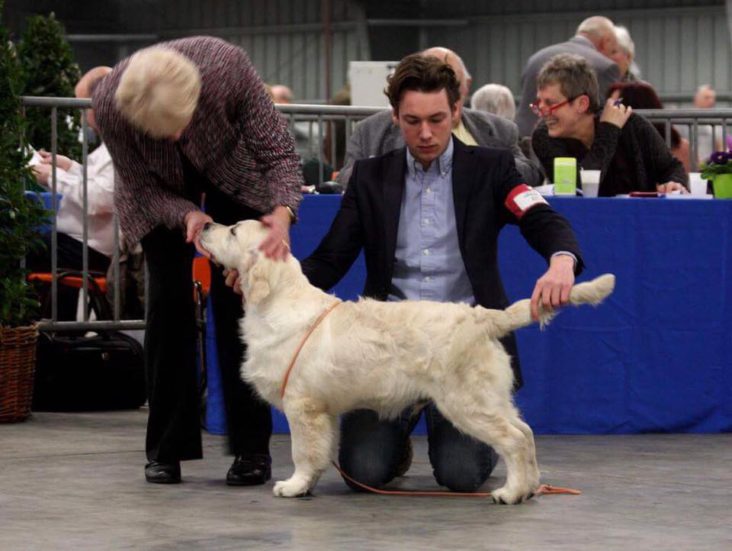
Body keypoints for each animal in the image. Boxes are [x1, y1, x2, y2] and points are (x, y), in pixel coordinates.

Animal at [199, 220, 612, 504]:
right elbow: (319, 452)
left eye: (233, 230)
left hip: (466, 402)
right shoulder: (323, 412)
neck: (278, 300)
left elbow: (303, 451)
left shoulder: (303, 406)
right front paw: (308, 483)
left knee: (512, 440)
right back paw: (529, 488)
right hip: (491, 398)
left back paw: (510, 493)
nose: (203, 224)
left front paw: (294, 485)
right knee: (525, 433)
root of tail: (481, 317)